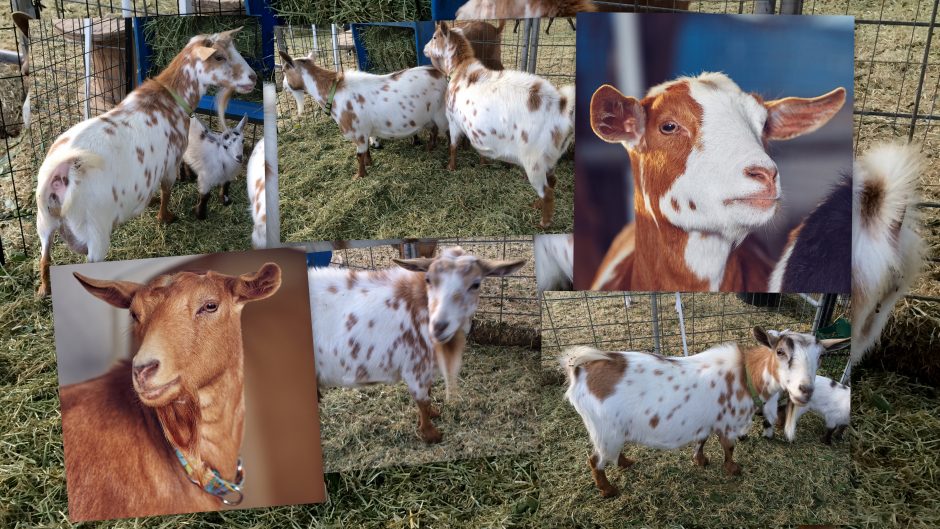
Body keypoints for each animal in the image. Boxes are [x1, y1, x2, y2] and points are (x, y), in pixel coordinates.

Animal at [35, 28, 257, 297]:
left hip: (44, 223)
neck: (170, 98)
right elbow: (167, 190)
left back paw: (44, 290)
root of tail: (60, 172)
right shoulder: (171, 162)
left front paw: (151, 205)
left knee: (44, 257)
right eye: (219, 57)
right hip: (95, 233)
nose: (254, 77)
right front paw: (165, 217)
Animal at [279, 51, 448, 179]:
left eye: (284, 71)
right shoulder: (364, 132)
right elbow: (366, 150)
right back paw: (430, 148)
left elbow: (358, 155)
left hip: (441, 114)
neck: (334, 92)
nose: (283, 87)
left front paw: (359, 176)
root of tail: (440, 74)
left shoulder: (357, 132)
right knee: (433, 131)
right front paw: (369, 163)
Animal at [308, 246, 525, 443]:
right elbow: (423, 401)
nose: (438, 326)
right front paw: (431, 434)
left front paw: (434, 414)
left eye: (476, 284)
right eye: (428, 280)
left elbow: (428, 396)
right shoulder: (415, 366)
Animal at [423, 22, 576, 228]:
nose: (425, 49)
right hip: (551, 158)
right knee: (553, 181)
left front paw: (451, 167)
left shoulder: (454, 120)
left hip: (534, 162)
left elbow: (453, 145)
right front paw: (483, 162)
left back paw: (543, 222)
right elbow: (479, 146)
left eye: (434, 37)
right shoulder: (478, 130)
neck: (461, 69)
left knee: (547, 192)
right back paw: (535, 205)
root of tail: (563, 107)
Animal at [562, 326, 848, 497]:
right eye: (780, 352)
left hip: (615, 431)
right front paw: (733, 469)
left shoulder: (708, 420)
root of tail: (580, 370)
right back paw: (608, 490)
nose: (805, 390)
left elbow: (702, 440)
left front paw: (700, 460)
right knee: (595, 461)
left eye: (821, 356)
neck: (746, 376)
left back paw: (625, 463)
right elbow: (729, 447)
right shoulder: (729, 423)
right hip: (604, 431)